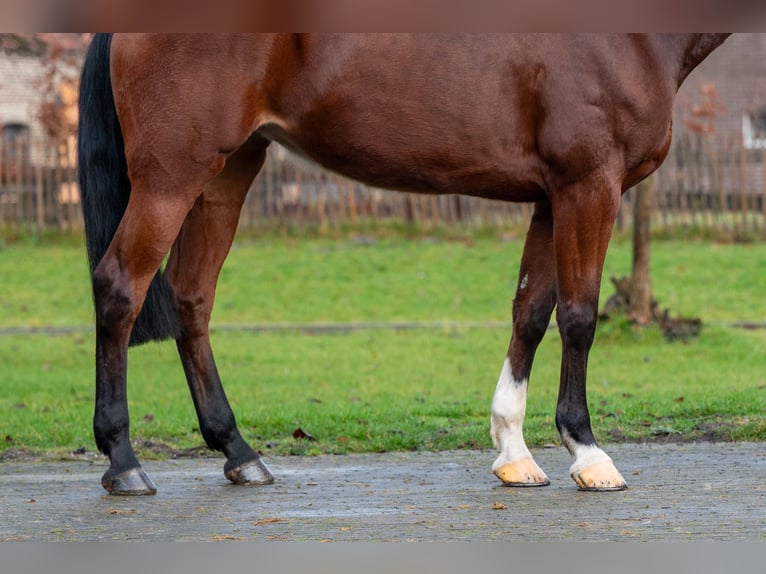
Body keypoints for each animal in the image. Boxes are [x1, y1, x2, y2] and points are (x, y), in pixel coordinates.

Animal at [77, 33, 730, 495]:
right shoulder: (589, 185)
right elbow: (577, 316)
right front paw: (588, 454)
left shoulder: (552, 196)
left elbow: (530, 313)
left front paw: (513, 453)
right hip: (171, 176)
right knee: (121, 287)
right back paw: (124, 463)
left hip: (228, 171)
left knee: (192, 296)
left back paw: (238, 451)